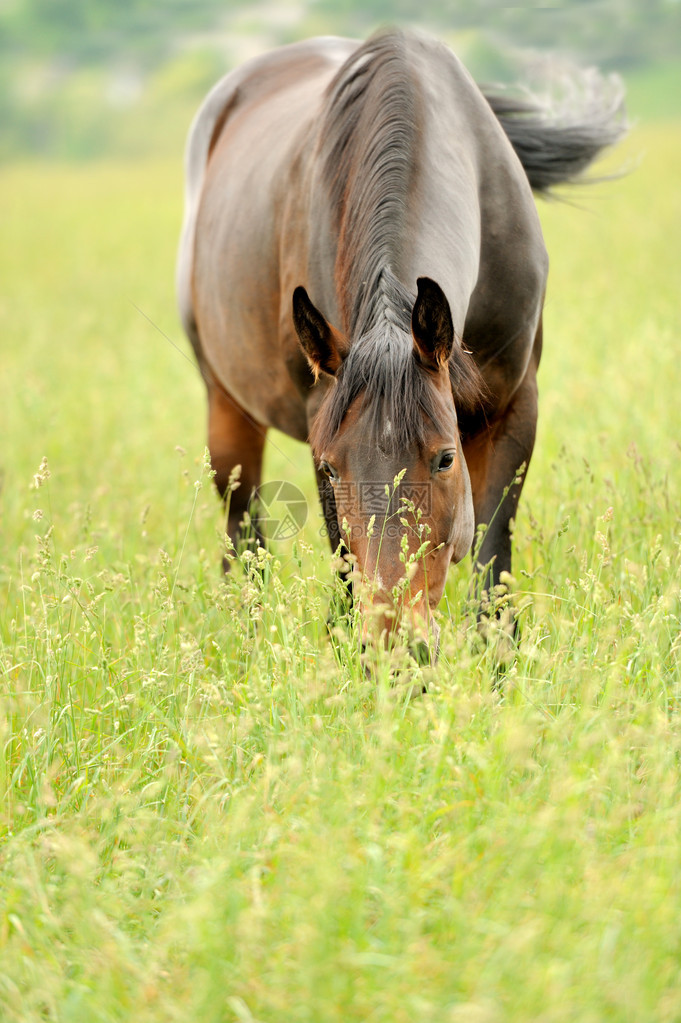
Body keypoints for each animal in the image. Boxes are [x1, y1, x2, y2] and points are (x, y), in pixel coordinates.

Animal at [177, 31, 621, 654]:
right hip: (225, 403)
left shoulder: (514, 406)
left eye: (444, 458)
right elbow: (344, 554)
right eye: (333, 466)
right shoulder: (321, 417)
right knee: (243, 530)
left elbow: (492, 558)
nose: (394, 644)